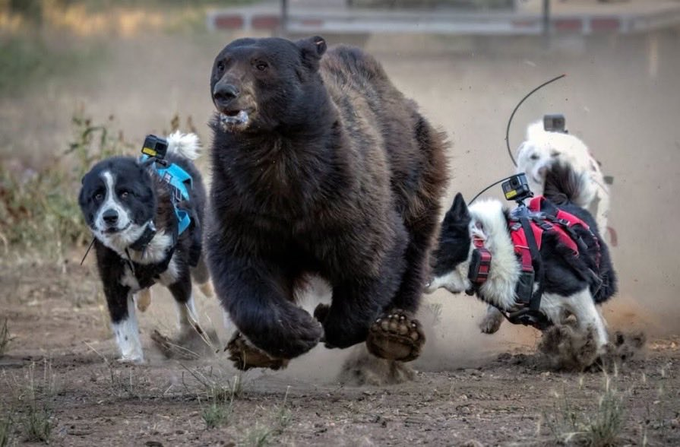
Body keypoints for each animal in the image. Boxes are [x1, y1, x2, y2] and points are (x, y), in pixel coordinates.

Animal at [206, 35, 449, 370]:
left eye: (261, 64)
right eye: (222, 63)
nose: (225, 93)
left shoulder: (342, 193)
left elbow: (373, 254)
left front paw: (330, 321)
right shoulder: (242, 200)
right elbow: (242, 264)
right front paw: (299, 329)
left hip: (416, 170)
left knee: (415, 249)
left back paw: (396, 330)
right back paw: (252, 347)